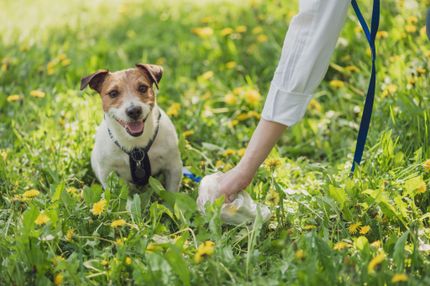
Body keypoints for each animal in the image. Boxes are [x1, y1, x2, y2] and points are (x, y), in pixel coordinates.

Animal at [80, 63, 181, 191]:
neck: (136, 145)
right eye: (113, 93)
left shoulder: (173, 167)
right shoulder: (107, 173)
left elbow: (172, 192)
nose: (134, 111)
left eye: (142, 88)